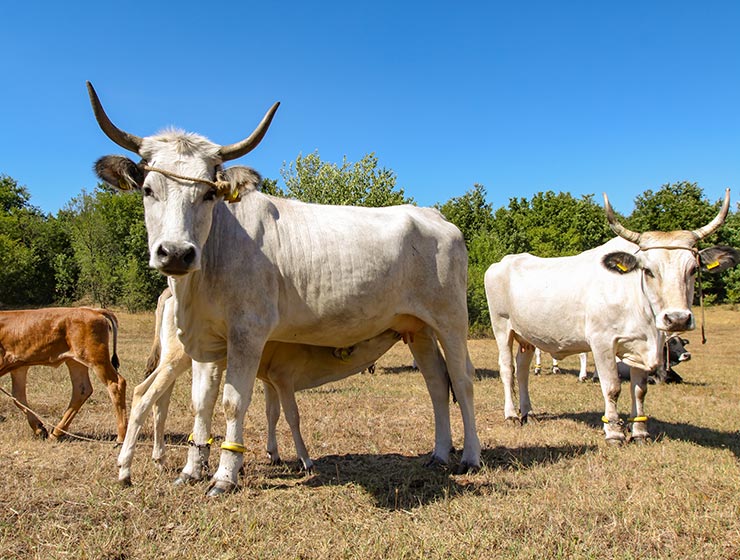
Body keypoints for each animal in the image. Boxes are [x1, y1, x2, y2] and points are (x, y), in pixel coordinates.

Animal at [0, 307, 127, 442]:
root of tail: (93, 310)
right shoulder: (19, 367)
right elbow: (18, 397)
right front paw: (39, 428)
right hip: (75, 361)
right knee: (82, 389)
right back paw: (57, 432)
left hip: (95, 358)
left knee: (116, 383)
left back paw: (121, 436)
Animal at [118, 288, 402, 485]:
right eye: (369, 335)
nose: (396, 330)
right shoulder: (283, 377)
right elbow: (292, 416)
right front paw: (306, 460)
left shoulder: (269, 380)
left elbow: (271, 414)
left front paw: (273, 453)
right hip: (176, 358)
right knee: (143, 394)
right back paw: (125, 469)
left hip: (173, 360)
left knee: (161, 402)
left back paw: (159, 459)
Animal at [484, 191, 738, 443]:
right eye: (648, 270)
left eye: (693, 269)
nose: (677, 319)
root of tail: (503, 262)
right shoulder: (602, 343)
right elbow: (612, 387)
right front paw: (614, 431)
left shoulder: (640, 347)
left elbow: (640, 390)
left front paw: (639, 432)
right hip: (502, 327)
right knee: (507, 368)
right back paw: (511, 414)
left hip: (526, 335)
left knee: (523, 369)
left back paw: (528, 412)